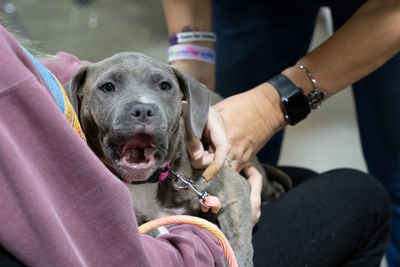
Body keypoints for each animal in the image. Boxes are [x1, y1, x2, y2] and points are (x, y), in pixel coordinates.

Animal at [65, 52, 290, 267]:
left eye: (165, 86)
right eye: (108, 87)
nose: (143, 110)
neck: (147, 182)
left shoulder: (233, 190)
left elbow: (238, 246)